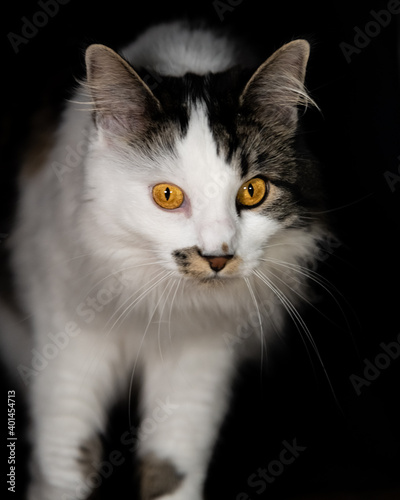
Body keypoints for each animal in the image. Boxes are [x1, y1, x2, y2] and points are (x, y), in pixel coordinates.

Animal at [1, 19, 330, 500]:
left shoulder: (199, 359)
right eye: (168, 196)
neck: (156, 304)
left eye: (253, 191)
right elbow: (66, 466)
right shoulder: (69, 350)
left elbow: (171, 469)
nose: (217, 257)